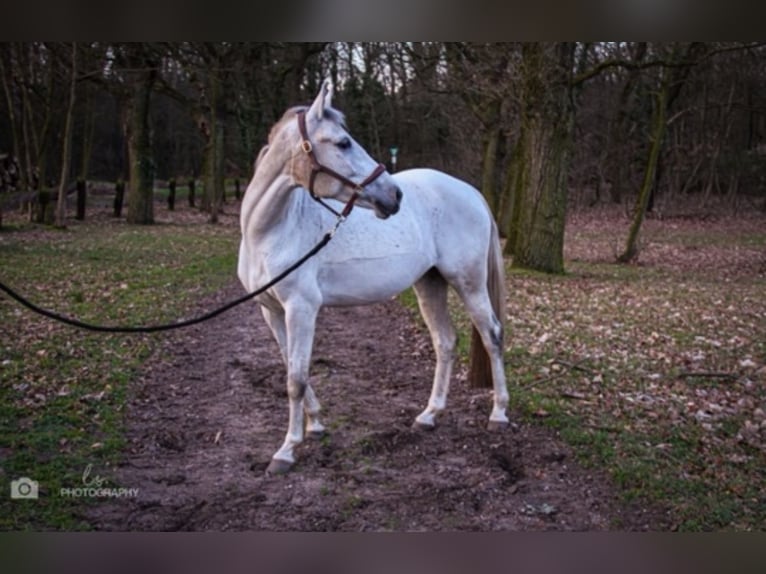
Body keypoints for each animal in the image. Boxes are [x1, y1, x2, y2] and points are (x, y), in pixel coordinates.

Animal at [237, 82, 508, 476]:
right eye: (342, 143)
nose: (393, 195)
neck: (271, 231)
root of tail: (471, 192)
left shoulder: (301, 309)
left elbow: (295, 379)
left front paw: (286, 450)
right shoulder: (270, 310)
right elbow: (292, 369)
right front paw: (315, 425)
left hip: (469, 284)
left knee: (492, 336)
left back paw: (499, 414)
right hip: (430, 283)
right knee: (445, 342)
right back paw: (429, 415)